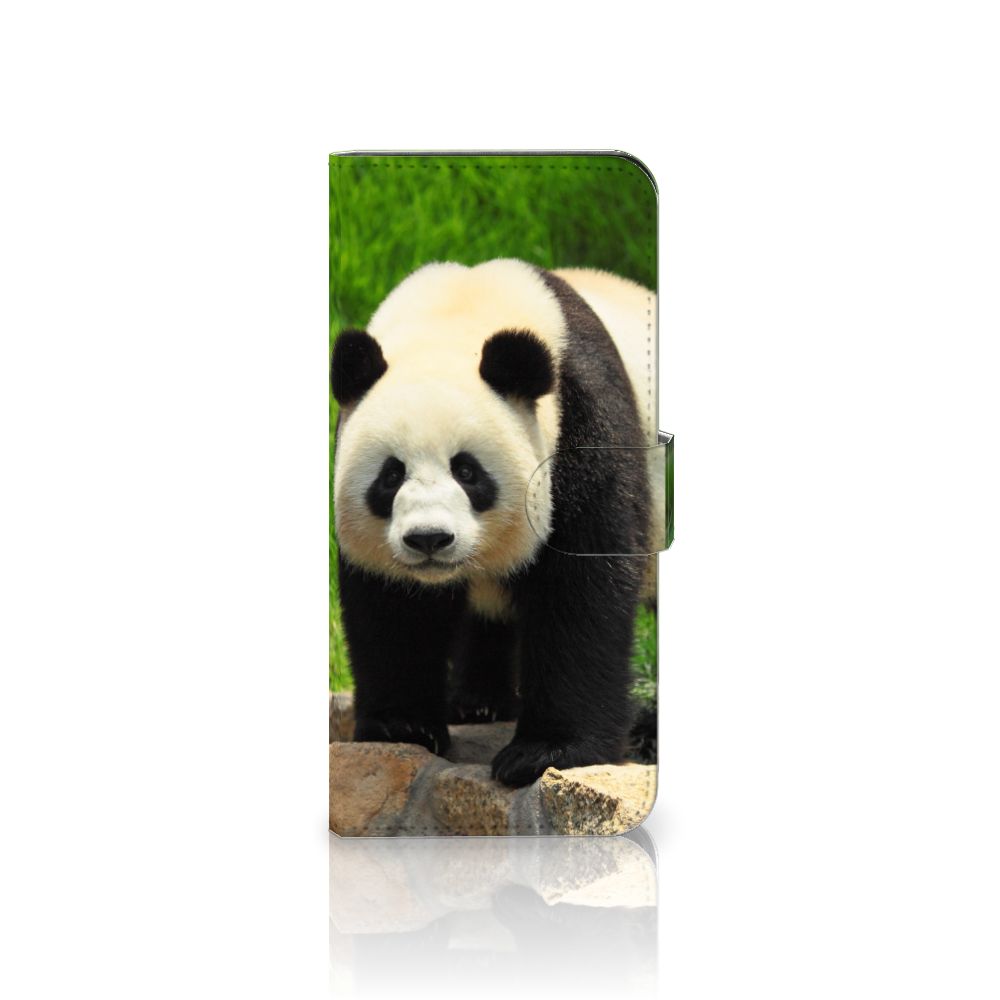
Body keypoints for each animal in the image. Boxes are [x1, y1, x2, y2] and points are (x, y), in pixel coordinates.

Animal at [331, 259, 660, 788]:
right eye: (391, 475)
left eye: (467, 471)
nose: (429, 539)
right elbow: (392, 607)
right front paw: (402, 727)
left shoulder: (583, 425)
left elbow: (582, 590)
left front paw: (544, 752)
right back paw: (478, 703)